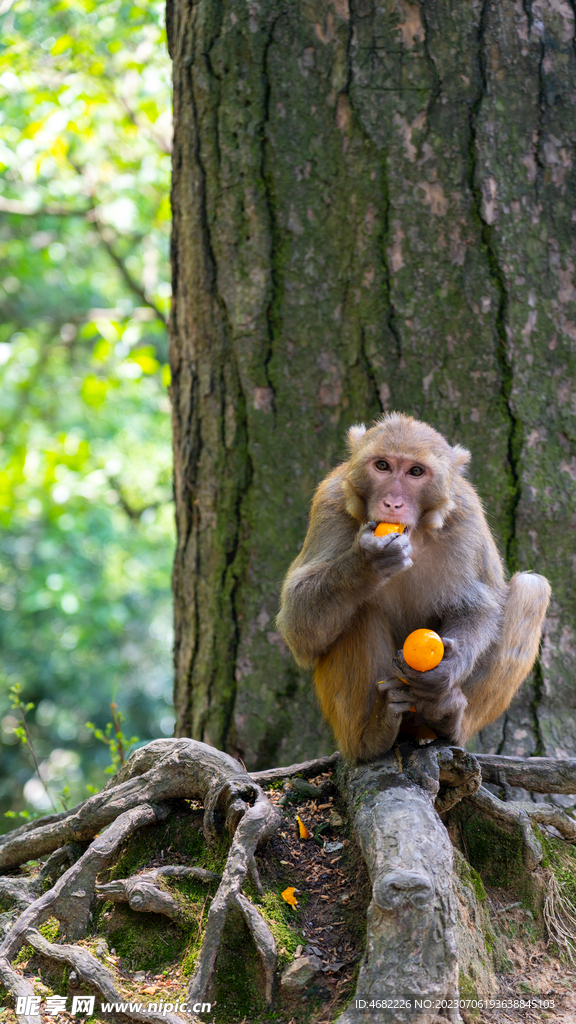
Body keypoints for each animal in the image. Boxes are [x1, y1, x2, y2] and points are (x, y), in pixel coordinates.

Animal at [276, 413, 549, 761]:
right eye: (382, 466)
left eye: (415, 472)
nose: (392, 503)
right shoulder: (330, 502)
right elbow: (298, 628)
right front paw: (366, 564)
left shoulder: (466, 515)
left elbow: (479, 607)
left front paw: (445, 673)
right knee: (360, 607)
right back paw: (373, 734)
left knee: (531, 588)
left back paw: (446, 715)